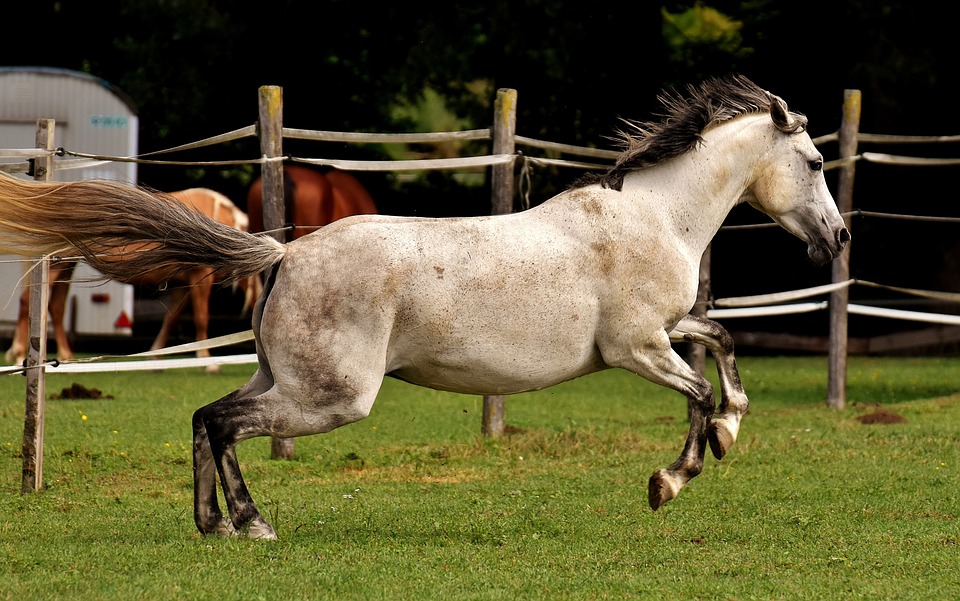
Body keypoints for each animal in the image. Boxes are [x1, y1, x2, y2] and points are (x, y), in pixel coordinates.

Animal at [3, 188, 260, 370]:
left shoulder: (183, 284)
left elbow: (171, 318)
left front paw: (156, 358)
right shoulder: (199, 280)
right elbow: (201, 318)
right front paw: (208, 362)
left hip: (66, 267)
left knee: (55, 307)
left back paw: (64, 356)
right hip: (57, 266)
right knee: (29, 302)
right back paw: (18, 354)